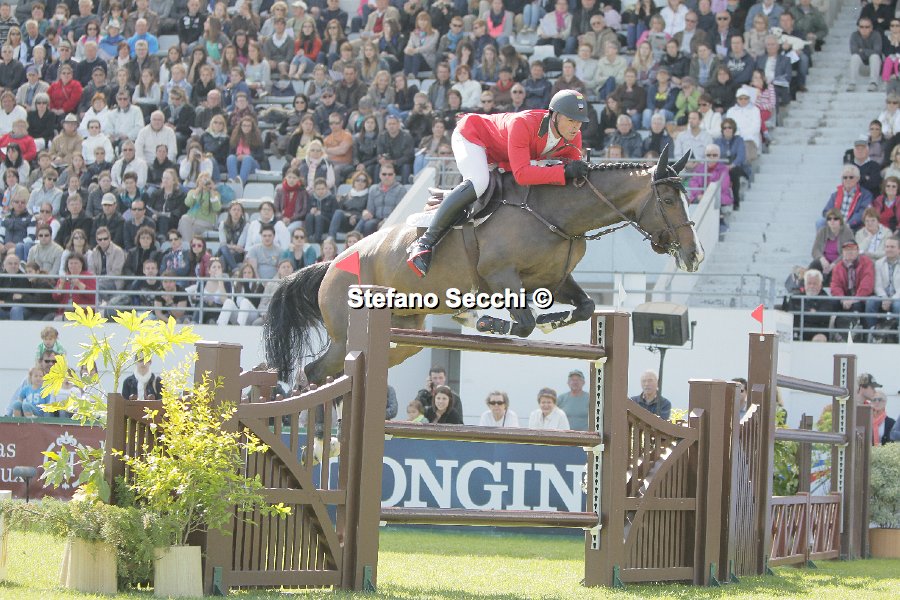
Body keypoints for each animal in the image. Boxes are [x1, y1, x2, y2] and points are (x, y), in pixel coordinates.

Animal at [265, 146, 704, 385]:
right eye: (668, 200)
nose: (694, 255)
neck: (555, 214)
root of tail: (331, 265)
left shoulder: (555, 280)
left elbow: (585, 307)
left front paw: (547, 323)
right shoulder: (500, 276)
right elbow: (522, 323)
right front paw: (486, 321)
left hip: (403, 333)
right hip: (345, 334)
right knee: (316, 372)